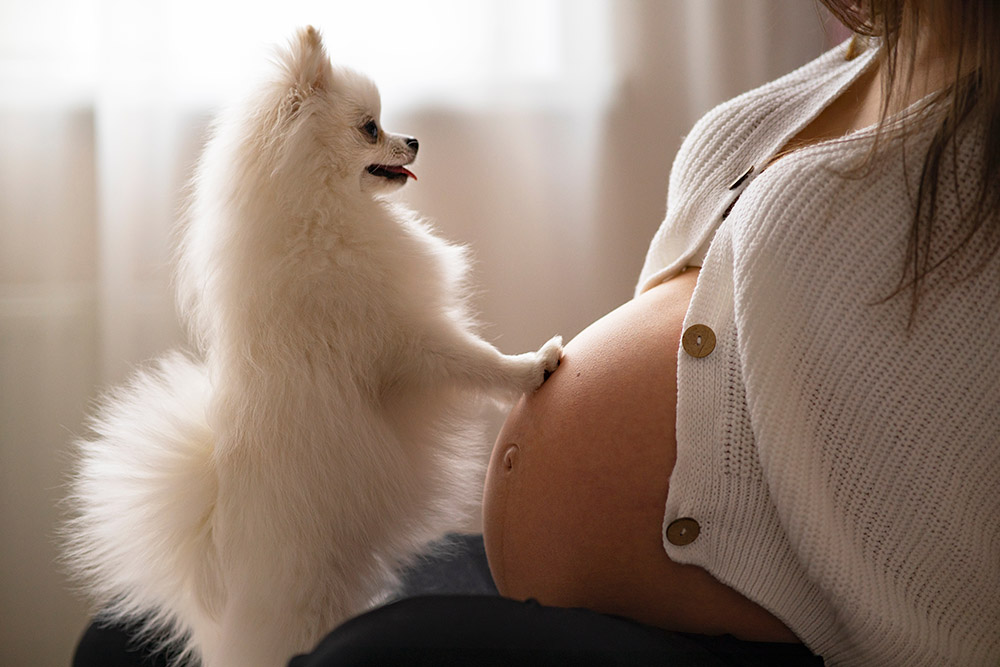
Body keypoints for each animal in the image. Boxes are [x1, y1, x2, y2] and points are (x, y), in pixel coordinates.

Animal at [63, 26, 564, 667]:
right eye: (370, 127)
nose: (415, 139)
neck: (321, 216)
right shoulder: (410, 341)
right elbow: (477, 361)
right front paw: (535, 368)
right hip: (309, 607)